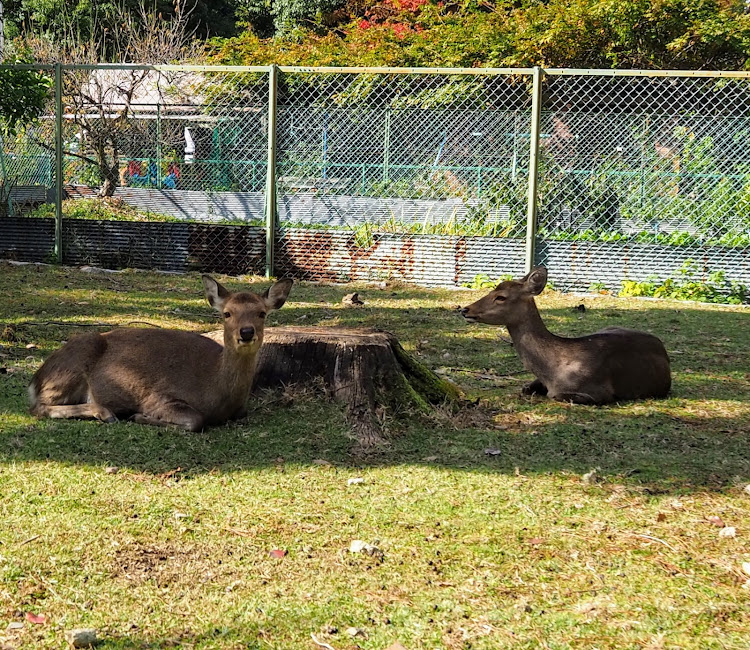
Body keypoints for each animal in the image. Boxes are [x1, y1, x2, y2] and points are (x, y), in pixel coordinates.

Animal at [26, 274, 292, 430]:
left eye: (262, 313)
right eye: (227, 313)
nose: (246, 332)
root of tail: (35, 380)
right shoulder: (160, 397)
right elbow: (195, 421)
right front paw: (139, 417)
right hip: (71, 365)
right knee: (38, 407)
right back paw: (106, 413)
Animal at [462, 266, 672, 402]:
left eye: (501, 297)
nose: (465, 309)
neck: (552, 372)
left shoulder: (600, 392)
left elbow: (555, 396)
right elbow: (525, 388)